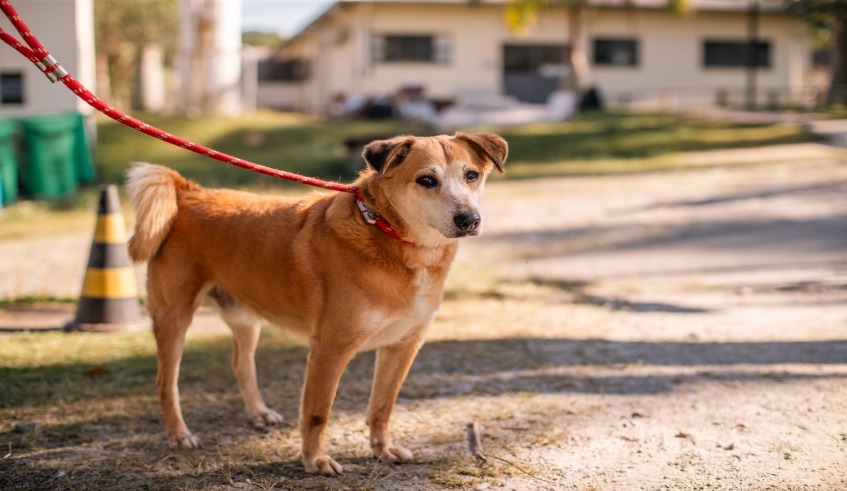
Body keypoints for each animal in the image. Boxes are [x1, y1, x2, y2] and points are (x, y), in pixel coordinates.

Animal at [127, 133, 510, 474]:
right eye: (426, 180)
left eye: (471, 175)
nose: (469, 220)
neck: (394, 240)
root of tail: (188, 192)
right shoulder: (330, 350)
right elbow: (317, 413)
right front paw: (315, 462)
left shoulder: (403, 346)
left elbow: (382, 407)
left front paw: (381, 450)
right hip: (174, 317)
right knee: (166, 383)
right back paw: (180, 434)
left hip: (246, 318)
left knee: (241, 365)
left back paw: (259, 413)